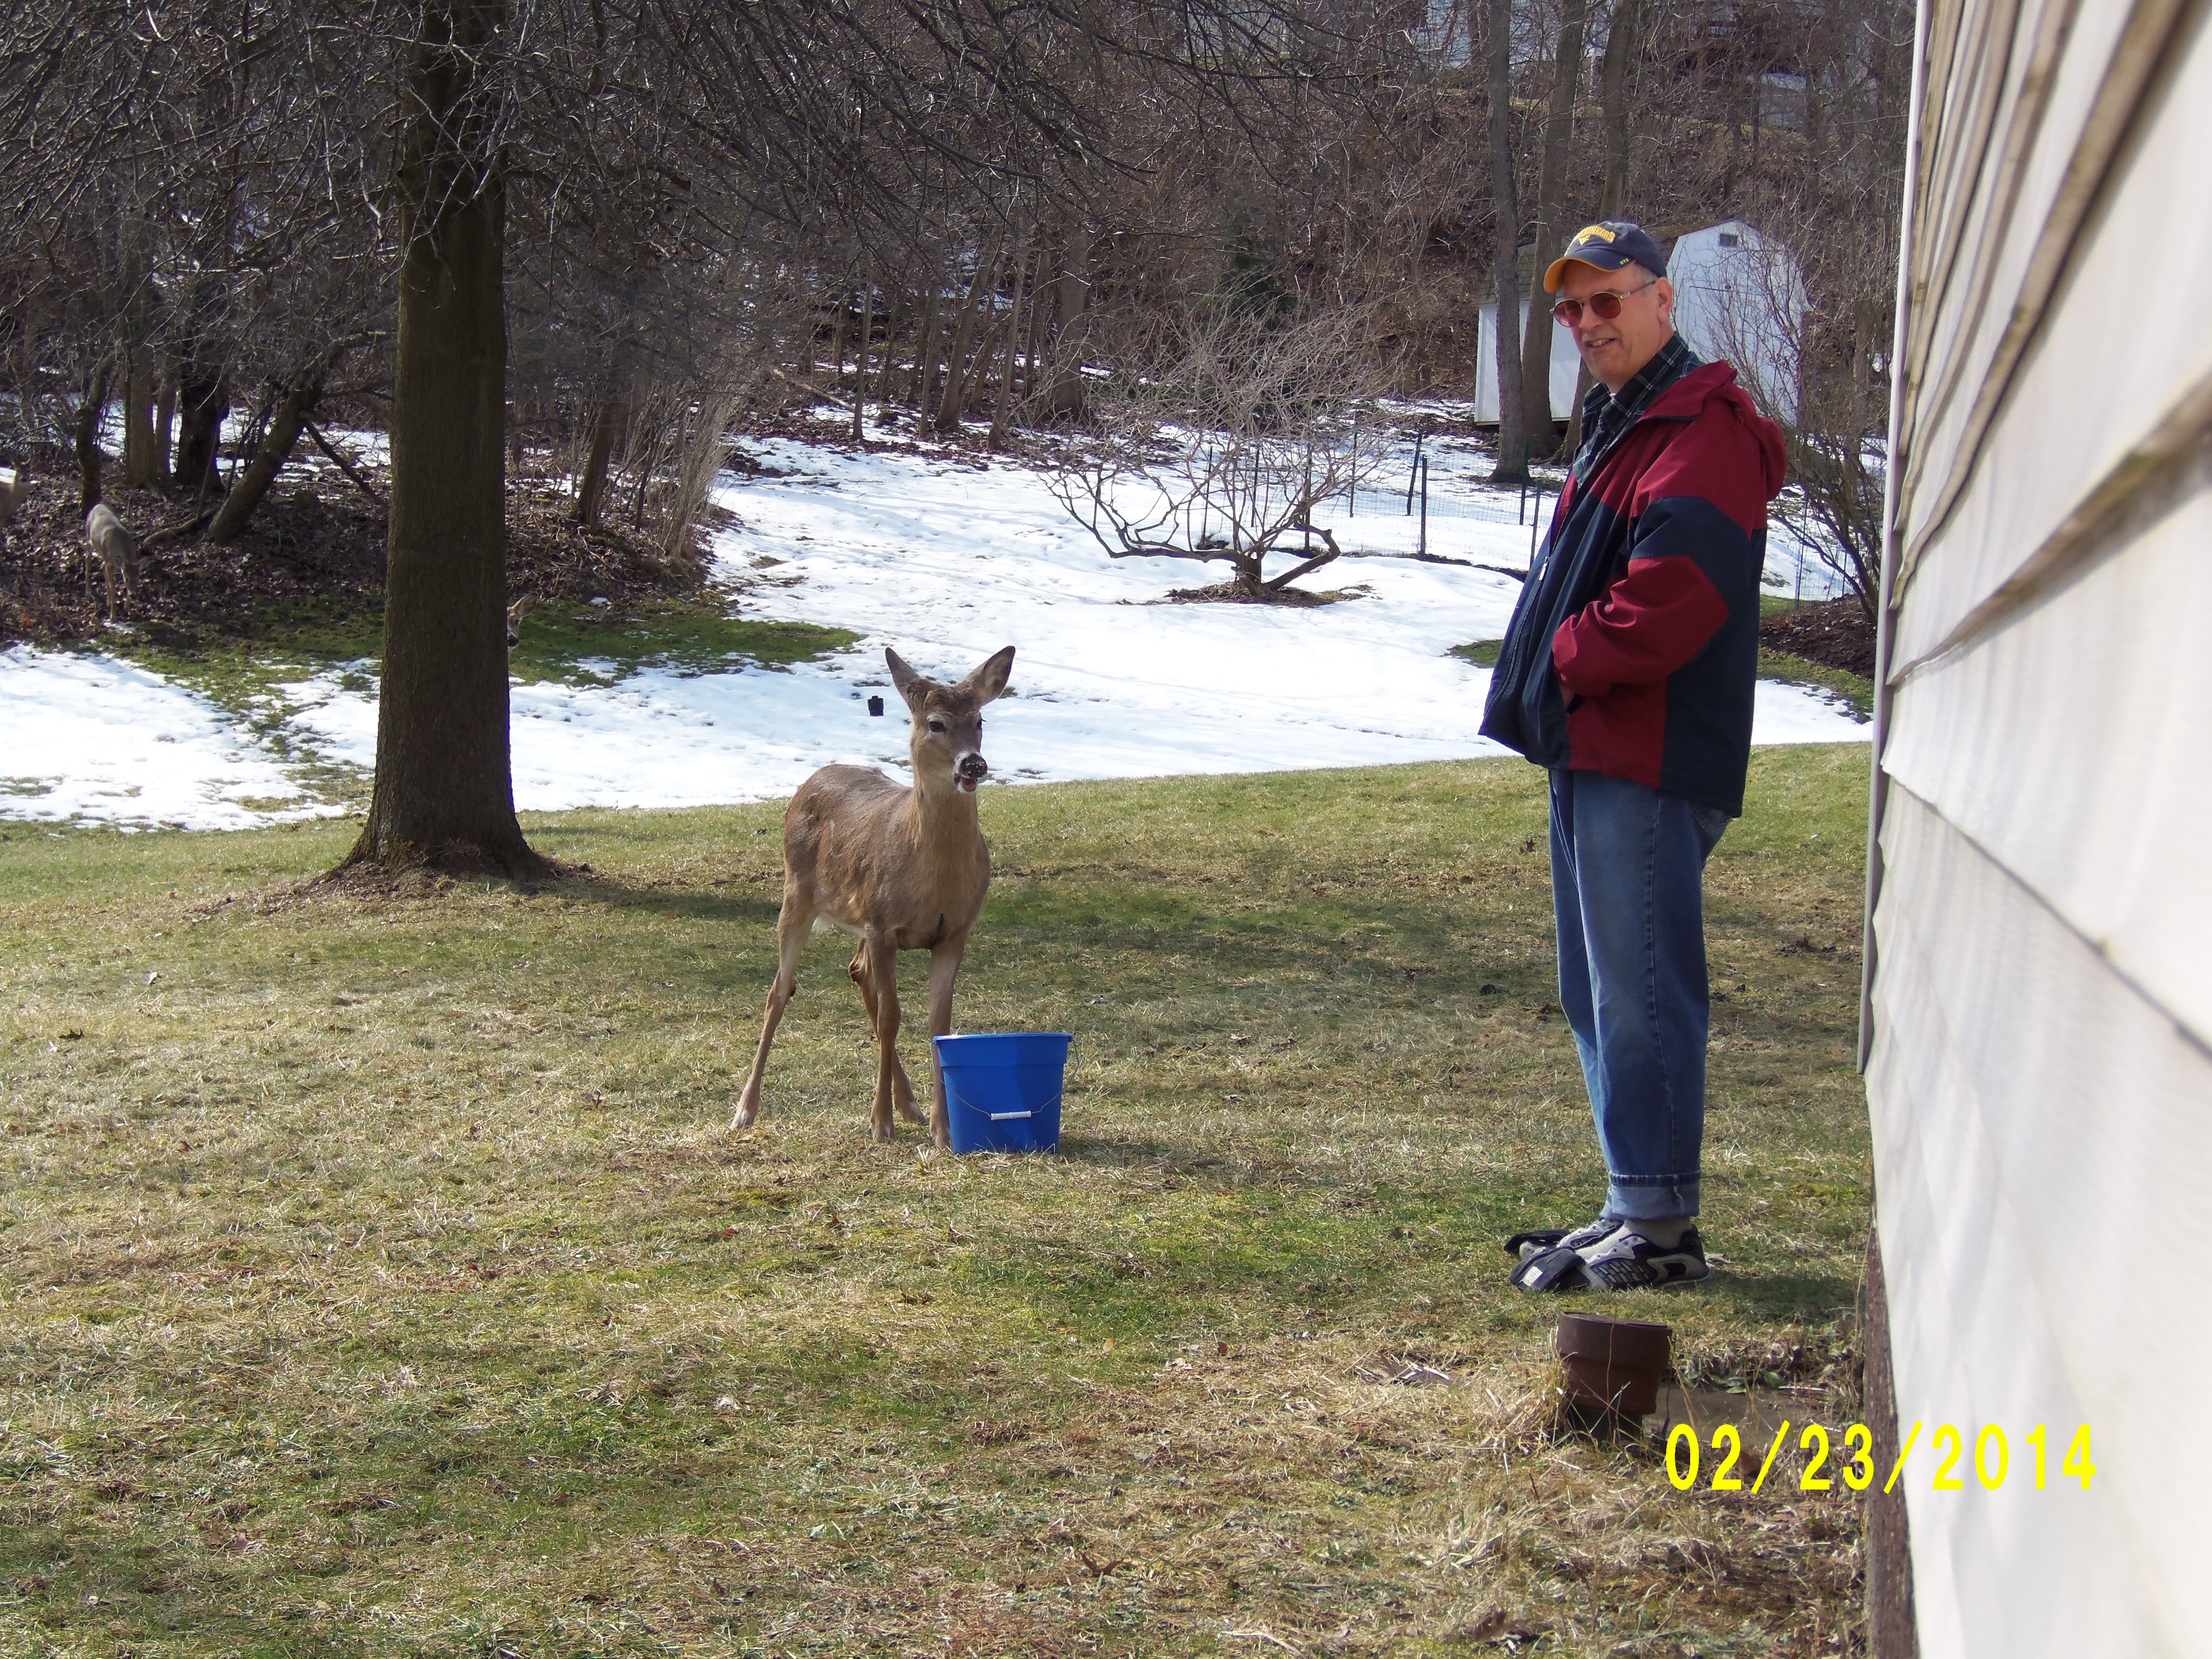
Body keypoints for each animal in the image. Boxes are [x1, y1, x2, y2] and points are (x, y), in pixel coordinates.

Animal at [739, 646, 1022, 1141]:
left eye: (980, 721)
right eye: (936, 723)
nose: (973, 764)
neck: (935, 880)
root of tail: (810, 780)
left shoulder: (954, 931)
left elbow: (938, 1022)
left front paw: (942, 1130)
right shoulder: (882, 923)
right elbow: (892, 1017)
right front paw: (879, 1123)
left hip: (856, 918)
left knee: (856, 972)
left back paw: (909, 1104)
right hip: (798, 894)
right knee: (779, 991)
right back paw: (745, 1109)